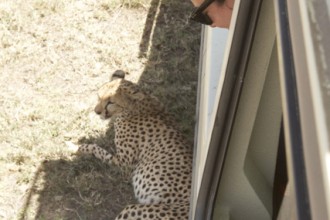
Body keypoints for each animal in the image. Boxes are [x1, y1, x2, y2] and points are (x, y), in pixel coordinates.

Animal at [71, 71, 192, 219]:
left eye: (111, 102)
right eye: (99, 96)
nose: (97, 111)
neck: (139, 106)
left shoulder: (123, 164)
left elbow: (95, 148)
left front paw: (74, 146)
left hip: (133, 209)